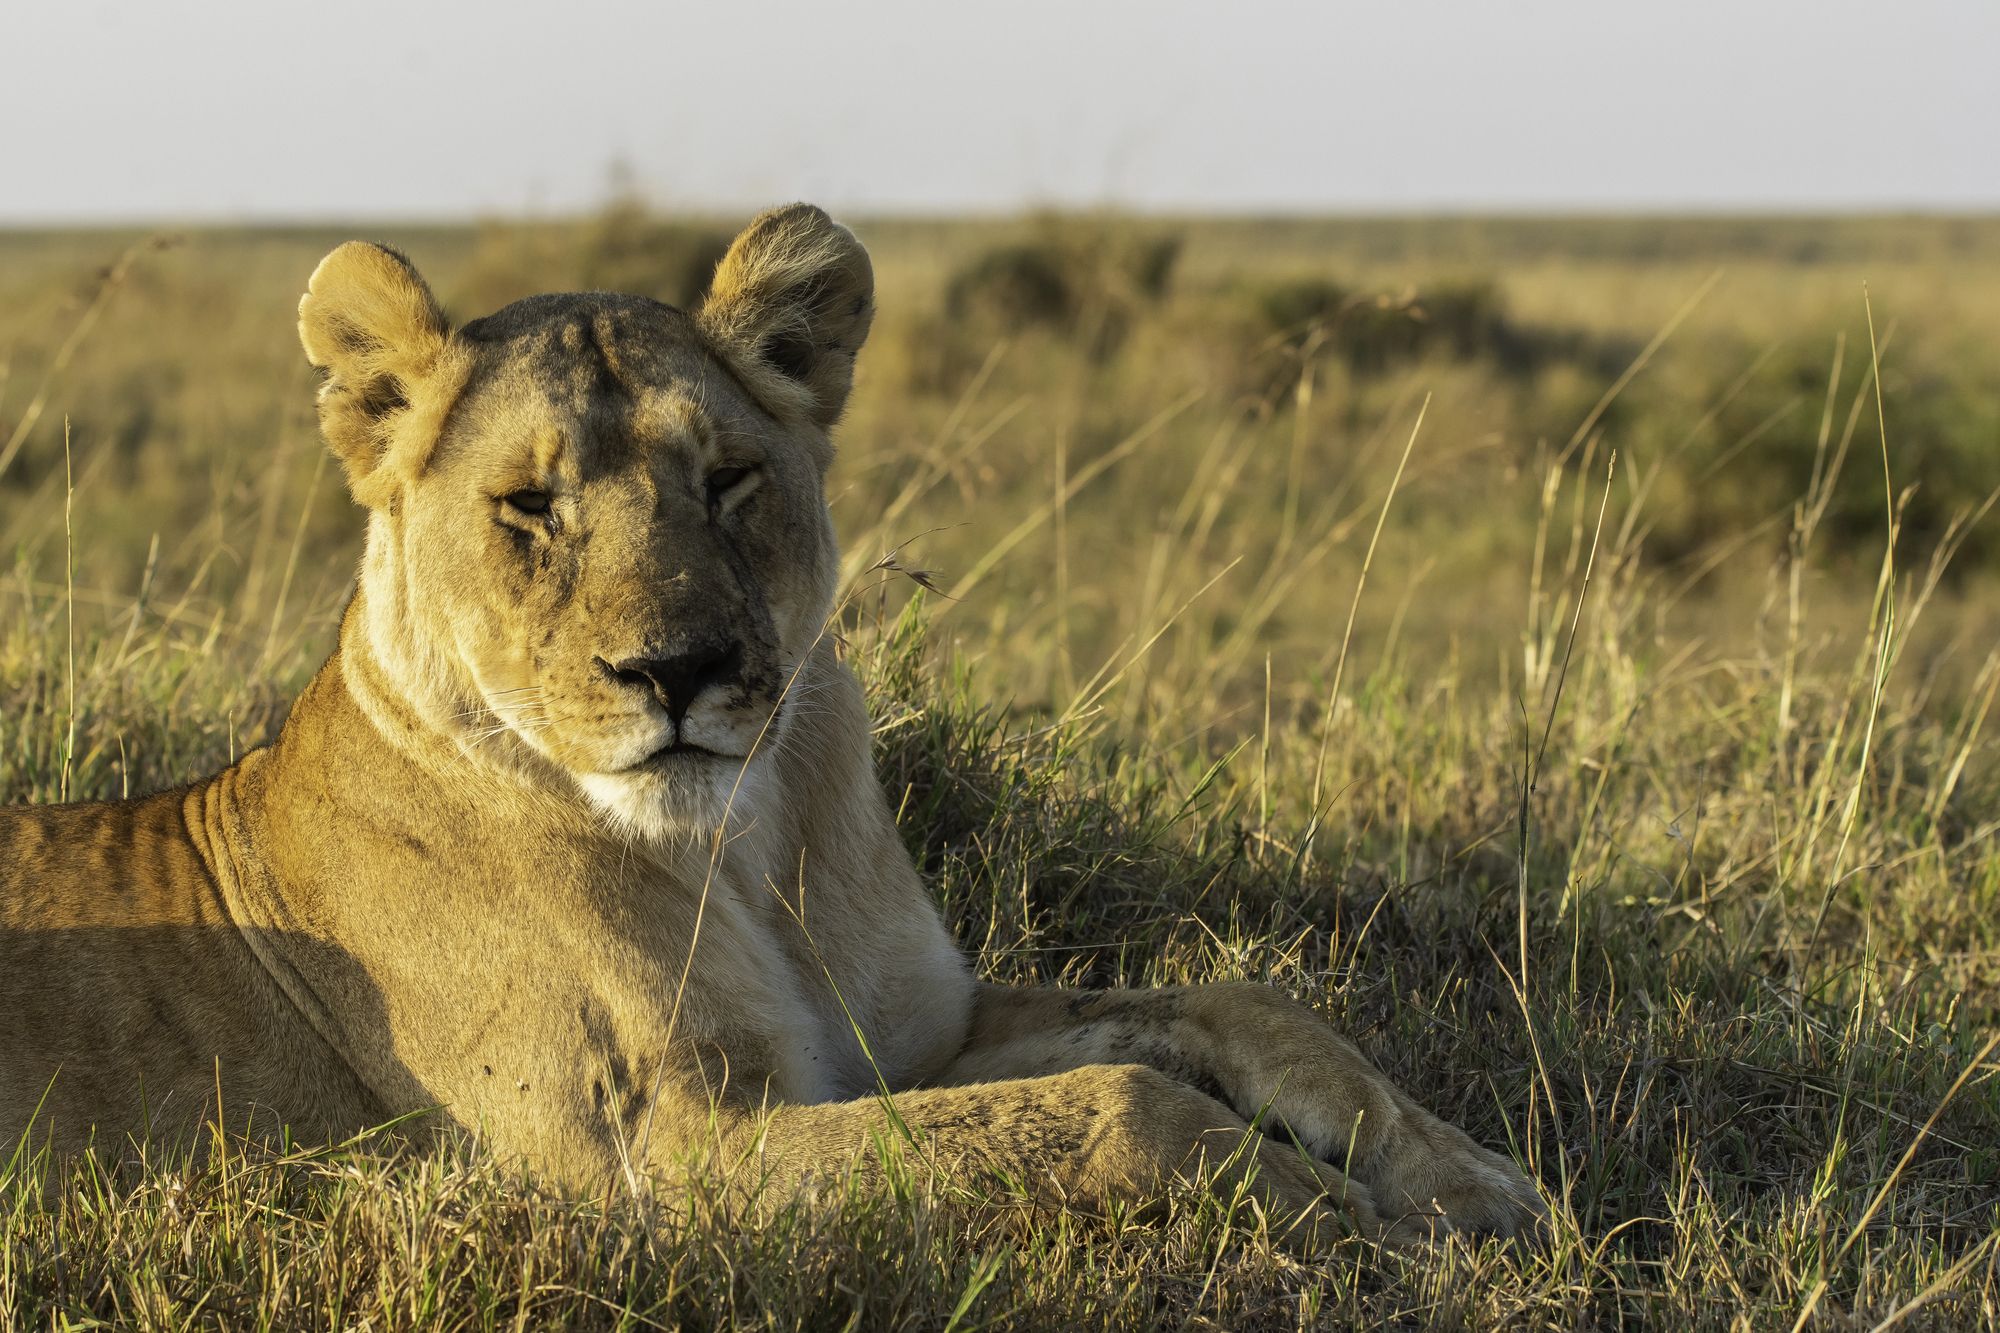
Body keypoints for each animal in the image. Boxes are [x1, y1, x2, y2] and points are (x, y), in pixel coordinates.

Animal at [0, 206, 1544, 1245]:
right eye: (529, 506)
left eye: (729, 478)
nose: (675, 669)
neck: (737, 851)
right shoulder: (661, 1161)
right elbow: (1119, 1106)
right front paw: (1334, 1218)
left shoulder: (918, 1035)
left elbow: (1227, 1005)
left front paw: (1467, 1180)